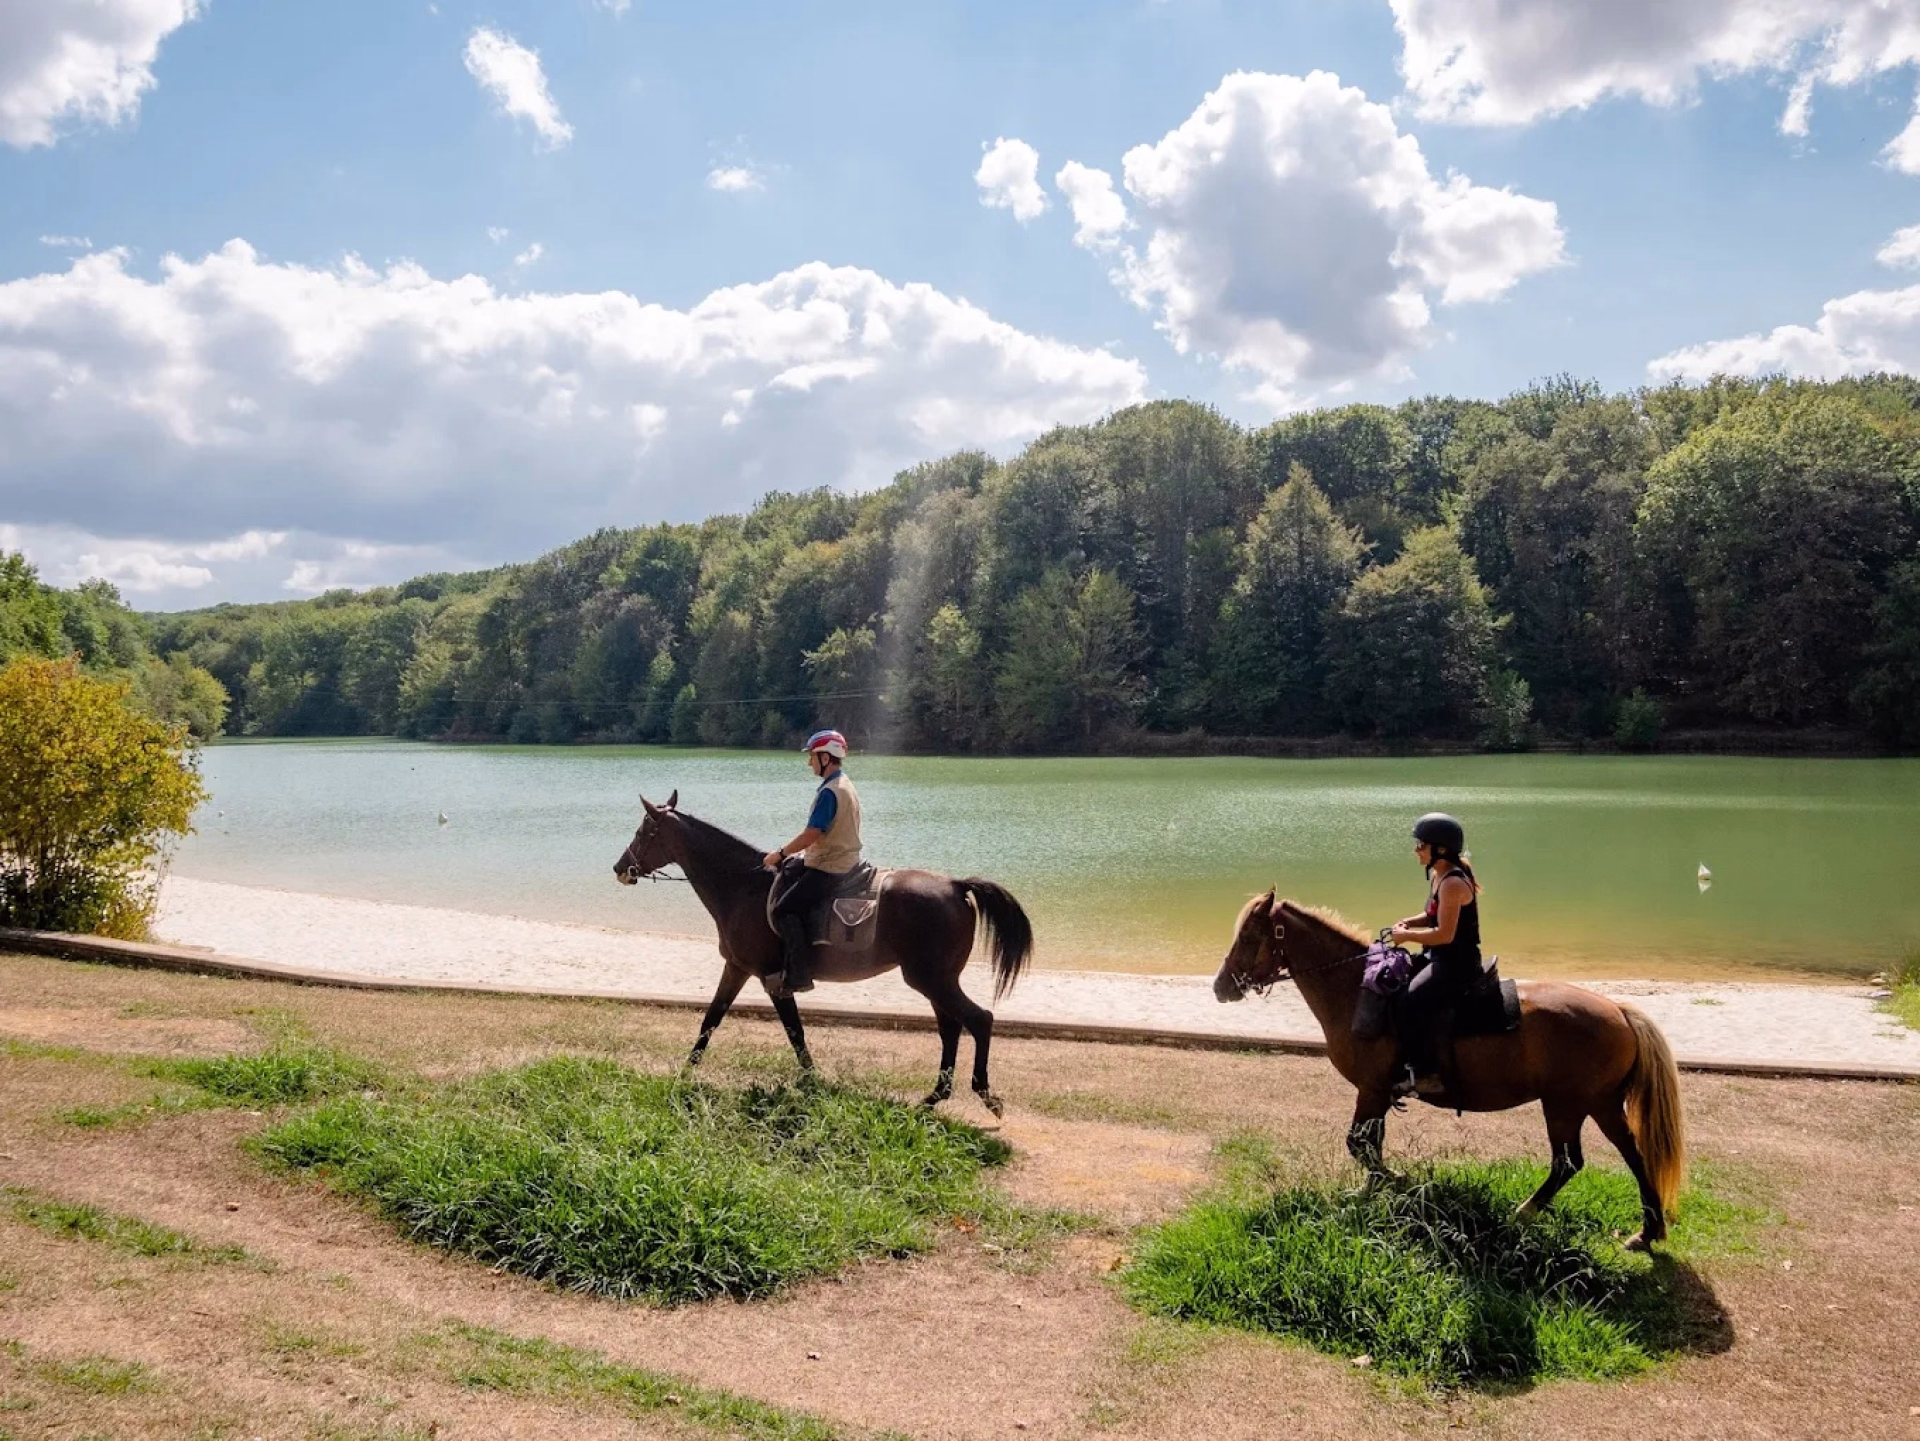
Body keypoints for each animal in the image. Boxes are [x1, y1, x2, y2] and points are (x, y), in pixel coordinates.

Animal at [613, 792, 1034, 1115]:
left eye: (643, 831)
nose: (620, 866)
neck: (743, 886)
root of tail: (955, 885)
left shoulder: (772, 979)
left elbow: (795, 1033)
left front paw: (812, 1081)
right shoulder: (736, 968)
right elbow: (711, 1020)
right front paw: (685, 1072)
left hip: (932, 979)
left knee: (978, 1020)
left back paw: (984, 1095)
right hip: (934, 981)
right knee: (951, 1029)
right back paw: (933, 1097)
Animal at [1213, 892, 1686, 1249]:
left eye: (1249, 934)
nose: (1220, 987)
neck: (1357, 991)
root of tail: (1619, 1012)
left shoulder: (1371, 1088)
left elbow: (1360, 1144)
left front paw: (1390, 1183)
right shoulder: (1379, 1092)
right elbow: (1370, 1144)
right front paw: (1372, 1190)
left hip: (1569, 1106)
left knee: (1574, 1162)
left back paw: (1532, 1213)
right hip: (1595, 1105)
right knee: (1621, 1155)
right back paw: (1646, 1230)